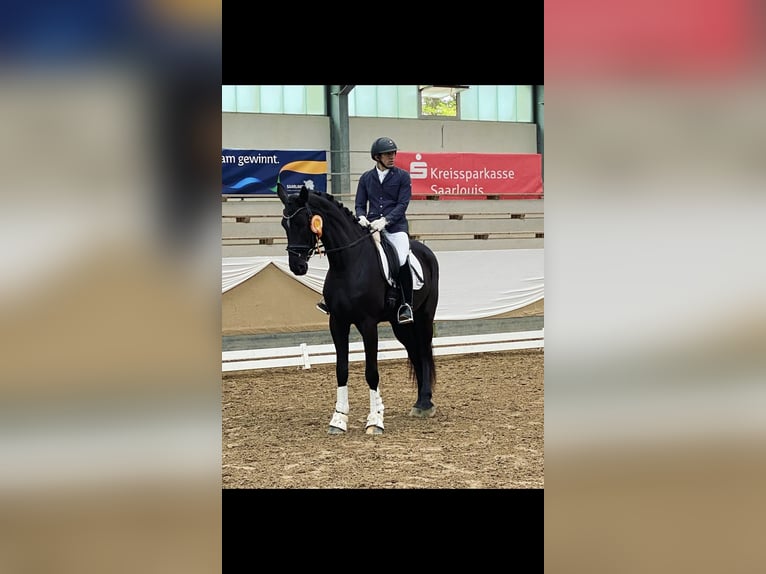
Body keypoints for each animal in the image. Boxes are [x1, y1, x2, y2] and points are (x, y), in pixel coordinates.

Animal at [280, 184, 440, 436]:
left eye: (304, 222)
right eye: (284, 224)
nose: (297, 266)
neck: (347, 263)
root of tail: (425, 250)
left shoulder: (368, 324)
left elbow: (371, 372)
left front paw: (375, 421)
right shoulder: (337, 323)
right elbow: (341, 370)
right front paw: (338, 420)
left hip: (424, 316)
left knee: (423, 352)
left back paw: (425, 404)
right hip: (400, 325)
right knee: (414, 353)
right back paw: (419, 403)